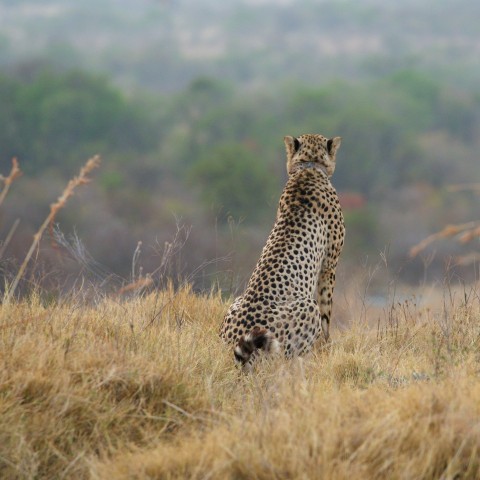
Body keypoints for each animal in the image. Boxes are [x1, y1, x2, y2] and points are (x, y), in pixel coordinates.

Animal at [221, 135, 344, 372]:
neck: (309, 166)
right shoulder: (329, 266)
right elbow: (327, 312)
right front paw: (328, 347)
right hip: (306, 308)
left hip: (236, 302)